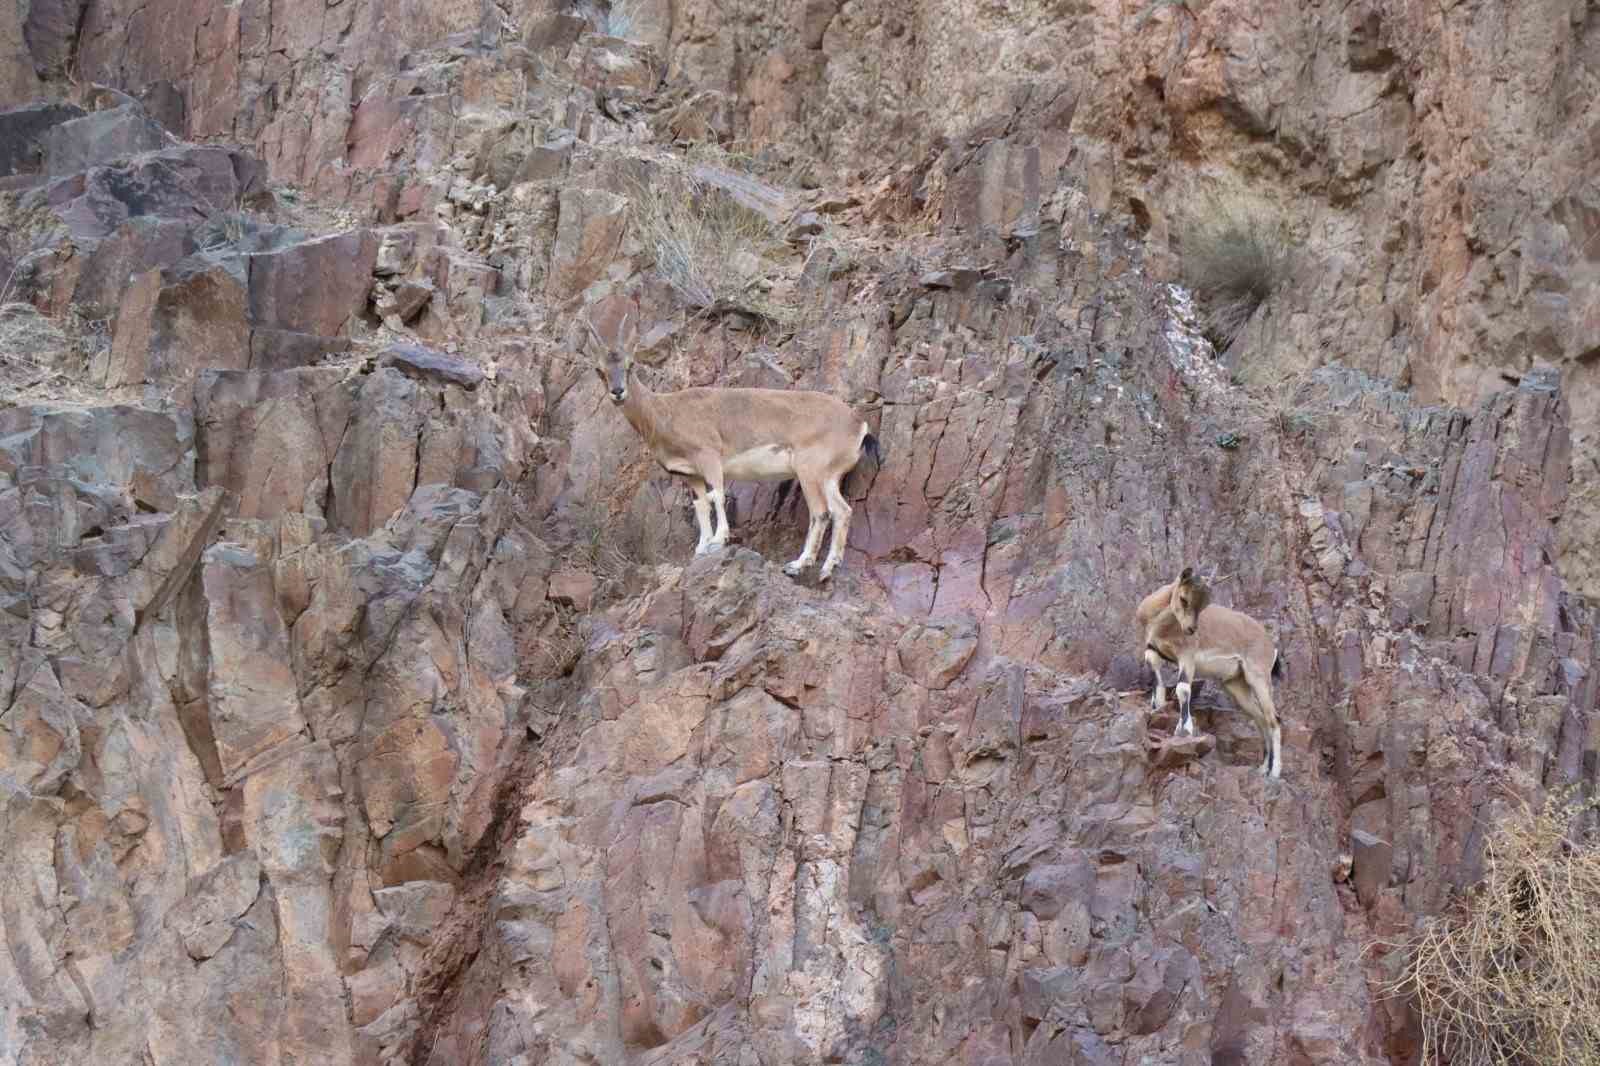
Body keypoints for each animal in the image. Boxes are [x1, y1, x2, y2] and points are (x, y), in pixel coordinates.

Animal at [588, 315, 883, 582]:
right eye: (599, 370)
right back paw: (827, 569)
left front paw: (719, 540)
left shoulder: (708, 457)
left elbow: (717, 495)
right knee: (842, 511)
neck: (665, 413)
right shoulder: (690, 475)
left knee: (821, 512)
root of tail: (858, 425)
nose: (617, 391)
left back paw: (798, 565)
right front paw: (701, 549)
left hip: (810, 471)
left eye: (630, 364)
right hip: (829, 476)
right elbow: (700, 506)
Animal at [1139, 563, 1286, 781]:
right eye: (1184, 598)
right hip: (1236, 684)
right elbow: (1157, 680)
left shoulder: (1187, 655)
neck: (1162, 624)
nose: (1191, 629)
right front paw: (1157, 707)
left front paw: (1184, 730)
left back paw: (1274, 772)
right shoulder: (1152, 649)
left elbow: (1183, 689)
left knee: (1273, 719)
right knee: (1260, 719)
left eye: (1204, 604)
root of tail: (1271, 645)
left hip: (1259, 677)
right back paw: (1262, 768)